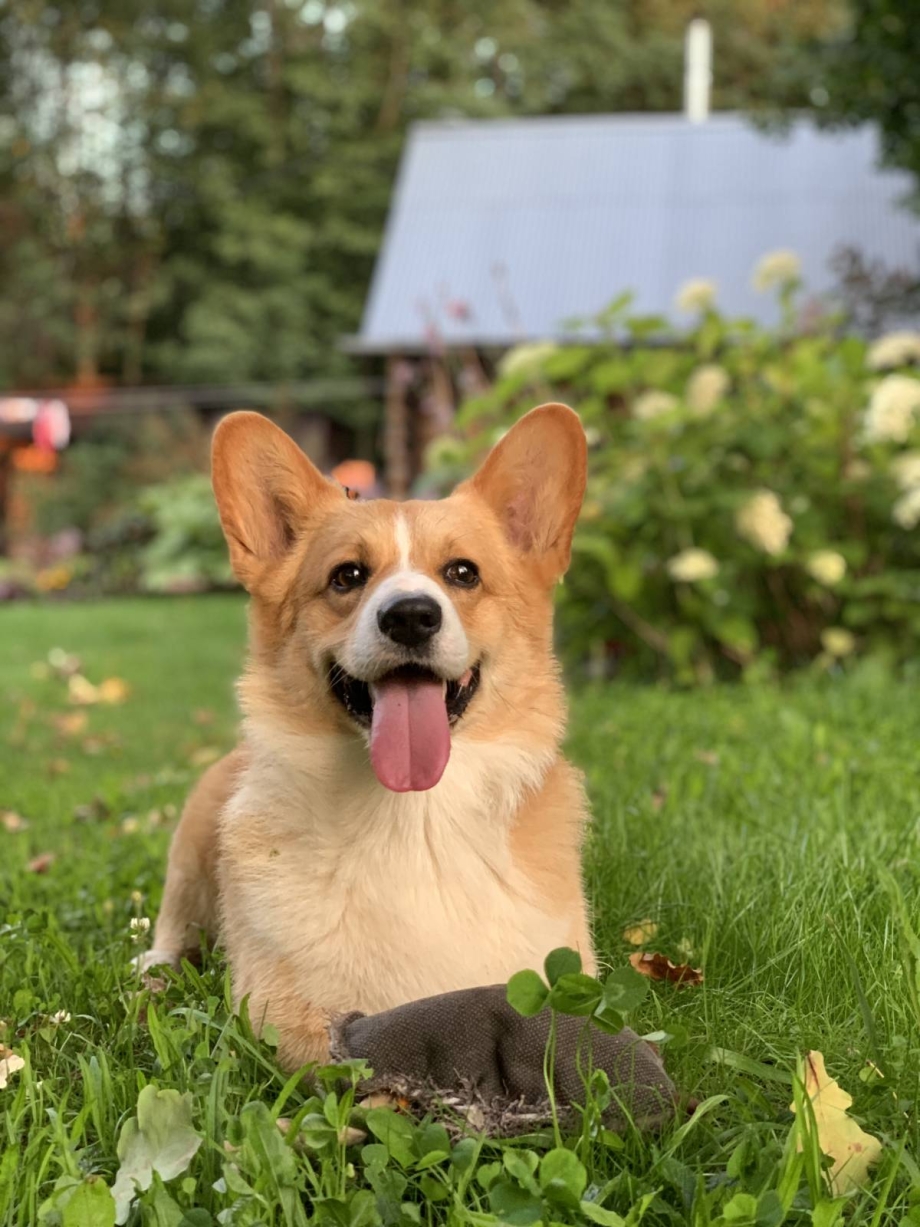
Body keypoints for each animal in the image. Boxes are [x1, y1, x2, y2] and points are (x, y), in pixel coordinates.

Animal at [140, 404, 593, 1074]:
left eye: (463, 573)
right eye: (346, 576)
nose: (410, 616)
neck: (413, 817)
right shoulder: (285, 1022)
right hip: (191, 855)